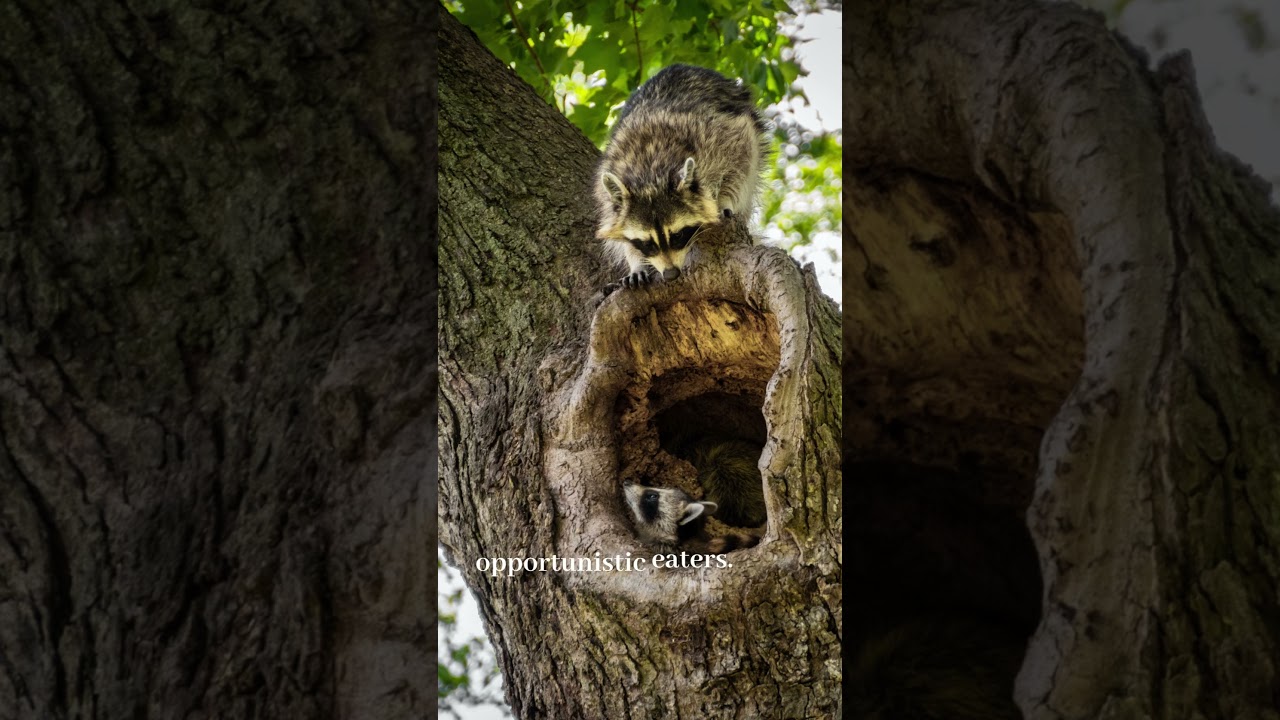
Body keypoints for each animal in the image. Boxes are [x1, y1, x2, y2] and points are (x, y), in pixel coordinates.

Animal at [595, 64, 770, 289]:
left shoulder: (719, 137)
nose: (670, 274)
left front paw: (724, 198)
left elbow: (740, 161)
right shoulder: (610, 183)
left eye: (677, 235)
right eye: (647, 243)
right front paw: (636, 262)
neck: (650, 174)